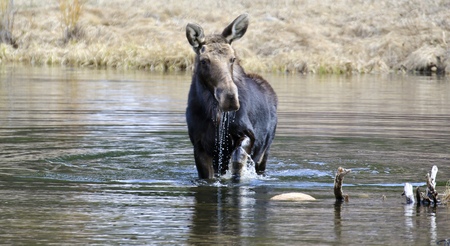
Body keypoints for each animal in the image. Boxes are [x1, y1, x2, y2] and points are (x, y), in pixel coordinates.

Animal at [184, 13, 276, 179]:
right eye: (204, 61)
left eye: (233, 59)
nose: (229, 98)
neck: (216, 116)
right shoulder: (199, 144)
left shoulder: (247, 133)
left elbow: (237, 160)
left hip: (265, 151)